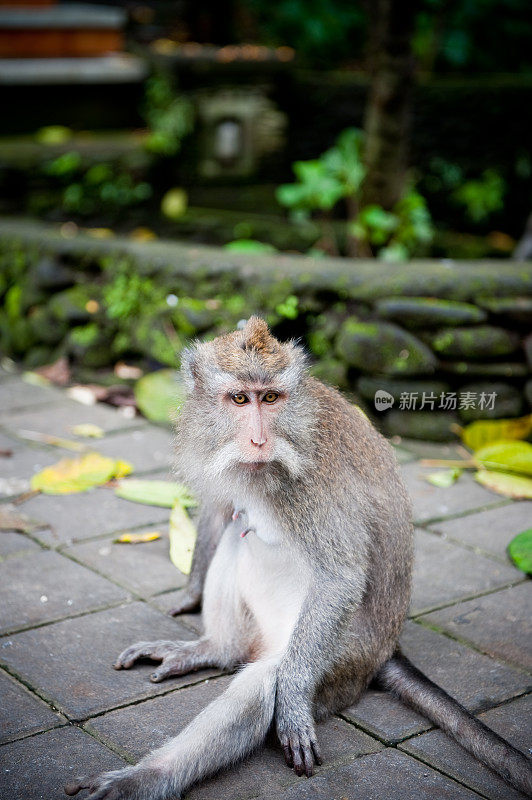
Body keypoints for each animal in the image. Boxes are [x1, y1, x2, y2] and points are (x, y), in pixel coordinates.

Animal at [66, 316, 532, 796]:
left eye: (270, 398)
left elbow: (340, 576)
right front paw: (190, 594)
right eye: (240, 398)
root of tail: (387, 650)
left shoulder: (315, 485)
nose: (258, 440)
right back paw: (215, 649)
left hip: (341, 658)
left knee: (263, 681)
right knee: (237, 530)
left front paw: (290, 703)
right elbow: (219, 509)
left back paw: (147, 777)